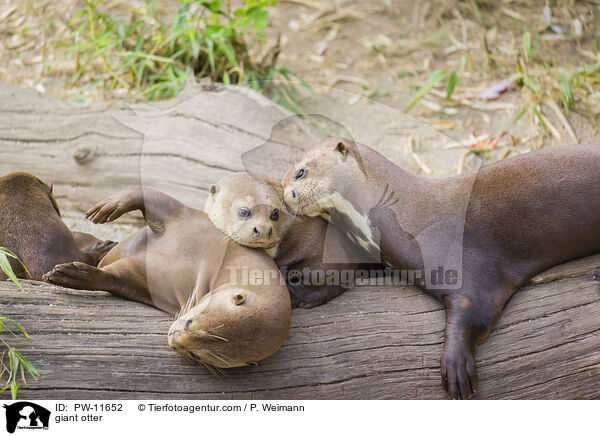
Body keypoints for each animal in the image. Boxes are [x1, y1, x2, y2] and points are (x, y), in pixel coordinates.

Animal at [42, 187, 290, 368]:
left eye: (196, 355)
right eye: (190, 323)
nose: (172, 337)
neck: (220, 263)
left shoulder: (147, 283)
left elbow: (115, 279)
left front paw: (74, 274)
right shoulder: (190, 219)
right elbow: (154, 197)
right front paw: (111, 205)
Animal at [282, 139, 600, 398]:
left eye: (300, 172)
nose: (285, 197)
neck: (412, 216)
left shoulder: (473, 274)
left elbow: (471, 315)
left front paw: (456, 368)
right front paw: (300, 290)